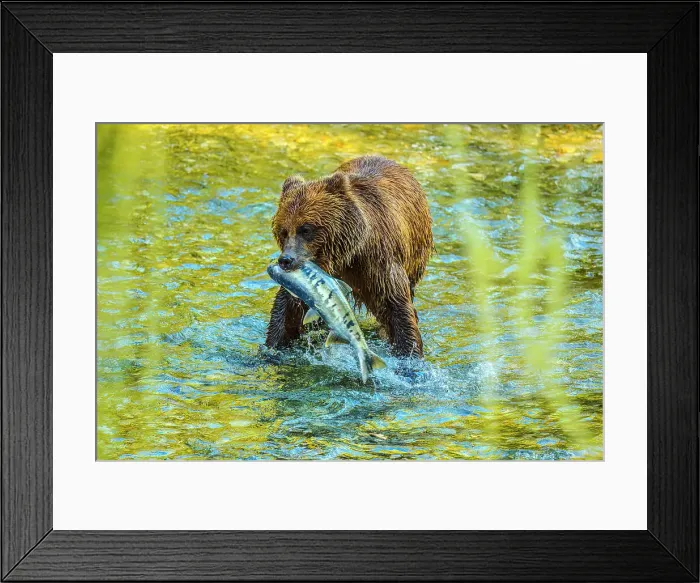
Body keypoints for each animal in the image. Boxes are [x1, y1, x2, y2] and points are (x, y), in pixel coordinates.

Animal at [265, 155, 433, 358]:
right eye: (283, 231)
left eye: (305, 229)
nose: (286, 260)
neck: (344, 256)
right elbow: (287, 309)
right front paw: (271, 348)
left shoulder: (378, 262)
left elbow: (396, 306)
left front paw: (409, 354)